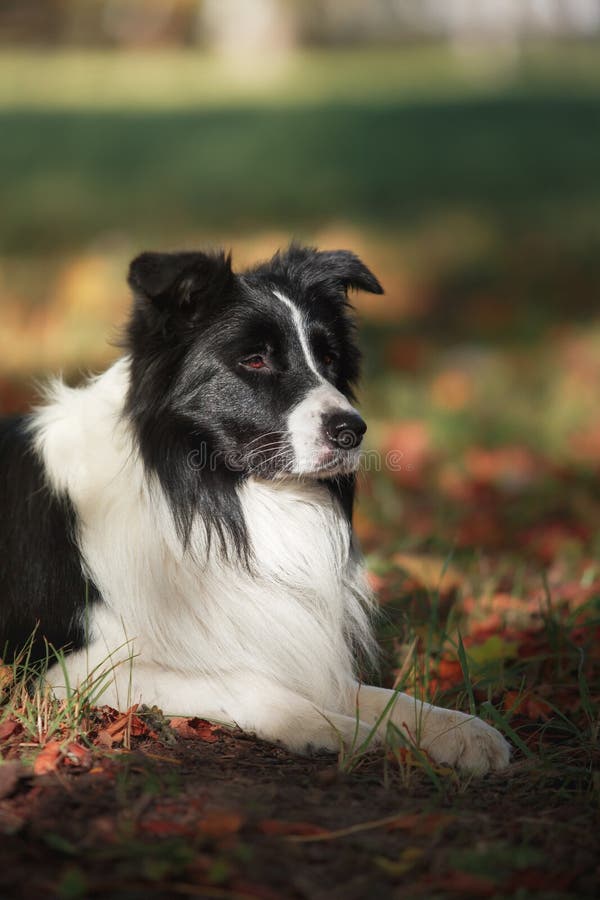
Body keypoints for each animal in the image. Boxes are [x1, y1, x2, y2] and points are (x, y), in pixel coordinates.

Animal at [0, 244, 508, 772]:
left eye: (329, 358)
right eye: (255, 359)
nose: (352, 430)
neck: (212, 494)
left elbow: (377, 695)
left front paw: (457, 728)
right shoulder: (69, 667)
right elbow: (249, 684)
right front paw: (332, 730)